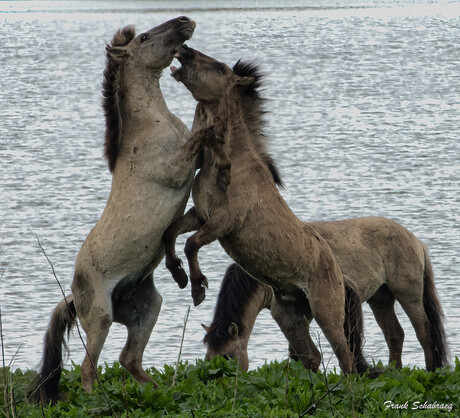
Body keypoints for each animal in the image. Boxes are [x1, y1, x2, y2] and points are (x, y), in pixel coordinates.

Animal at [33, 18, 222, 404]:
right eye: (146, 37)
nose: (185, 22)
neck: (153, 123)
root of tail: (73, 295)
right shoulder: (176, 169)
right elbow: (197, 141)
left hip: (147, 308)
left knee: (128, 359)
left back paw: (160, 391)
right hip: (100, 318)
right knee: (89, 367)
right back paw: (97, 401)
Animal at [164, 46, 362, 376]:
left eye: (219, 67)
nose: (185, 51)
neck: (229, 166)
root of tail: (335, 267)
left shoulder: (224, 221)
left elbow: (191, 243)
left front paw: (198, 289)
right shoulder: (200, 215)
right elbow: (171, 234)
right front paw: (178, 274)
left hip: (326, 313)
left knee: (346, 359)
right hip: (290, 317)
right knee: (311, 356)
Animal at [205, 216, 450, 372]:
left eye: (228, 357)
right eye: (209, 358)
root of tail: (414, 239)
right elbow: (298, 353)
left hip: (408, 295)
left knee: (424, 332)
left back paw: (431, 372)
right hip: (380, 299)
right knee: (395, 335)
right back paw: (394, 372)